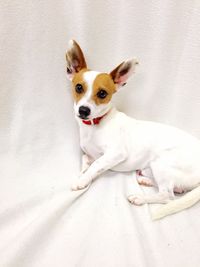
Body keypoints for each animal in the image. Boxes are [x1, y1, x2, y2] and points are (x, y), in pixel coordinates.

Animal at [65, 39, 200, 220]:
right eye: (79, 87)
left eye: (102, 94)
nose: (84, 110)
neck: (95, 125)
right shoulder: (88, 154)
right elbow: (86, 160)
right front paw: (84, 173)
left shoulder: (116, 153)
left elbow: (97, 164)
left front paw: (82, 180)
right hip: (154, 167)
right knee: (175, 189)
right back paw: (146, 181)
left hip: (161, 162)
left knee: (167, 196)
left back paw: (140, 198)